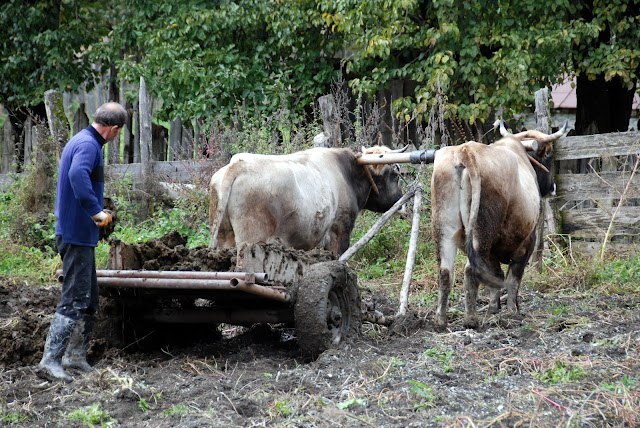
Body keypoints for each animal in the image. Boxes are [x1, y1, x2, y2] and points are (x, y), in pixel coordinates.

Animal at [209, 145, 406, 257]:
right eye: (396, 173)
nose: (403, 204)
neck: (348, 174)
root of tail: (239, 164)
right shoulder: (339, 231)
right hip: (251, 238)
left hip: (224, 237)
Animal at [431, 120, 568, 329]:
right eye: (548, 157)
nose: (552, 186)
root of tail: (465, 151)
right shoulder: (527, 242)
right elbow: (513, 278)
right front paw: (512, 310)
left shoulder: (492, 251)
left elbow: (496, 275)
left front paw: (493, 308)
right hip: (481, 233)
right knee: (470, 270)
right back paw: (471, 320)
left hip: (445, 228)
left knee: (445, 271)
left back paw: (440, 320)